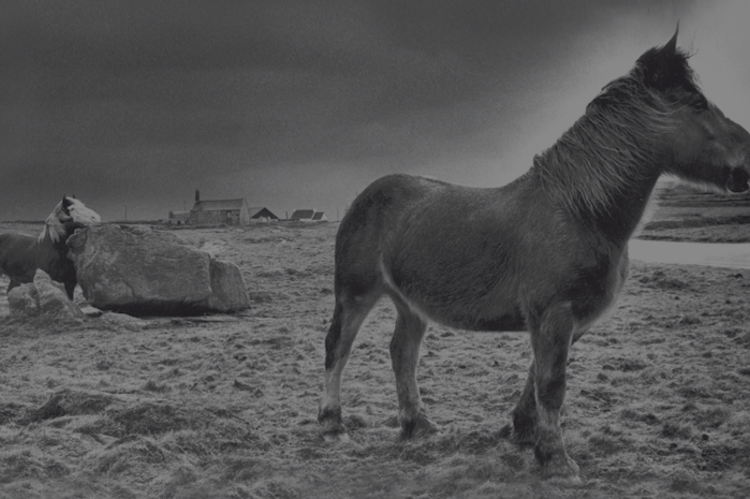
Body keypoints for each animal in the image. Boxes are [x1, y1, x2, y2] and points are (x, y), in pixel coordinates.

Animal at [316, 30, 750, 480]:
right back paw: (333, 426)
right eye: (697, 103)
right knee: (338, 348)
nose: (748, 163)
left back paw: (417, 424)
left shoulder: (564, 321)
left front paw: (524, 433)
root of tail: (365, 196)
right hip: (356, 293)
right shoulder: (554, 313)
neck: (580, 213)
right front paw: (558, 461)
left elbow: (537, 377)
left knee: (402, 353)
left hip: (410, 304)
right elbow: (552, 385)